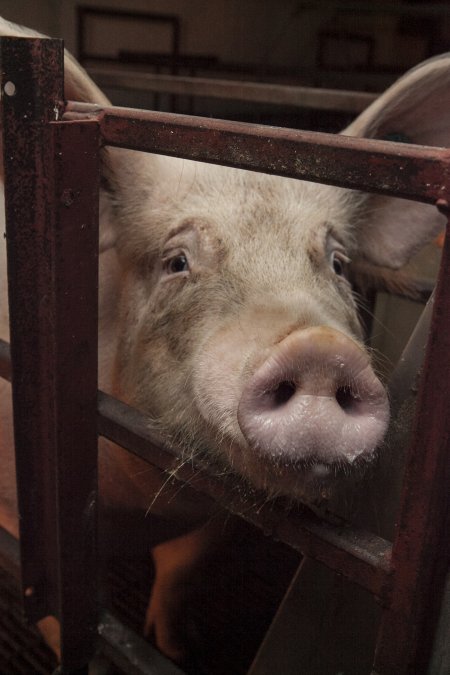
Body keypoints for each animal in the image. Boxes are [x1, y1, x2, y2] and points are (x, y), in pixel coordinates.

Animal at [0, 15, 448, 664]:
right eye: (177, 262)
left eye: (337, 264)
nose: (318, 350)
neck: (141, 511)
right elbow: (61, 604)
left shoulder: (223, 514)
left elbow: (183, 568)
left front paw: (176, 646)